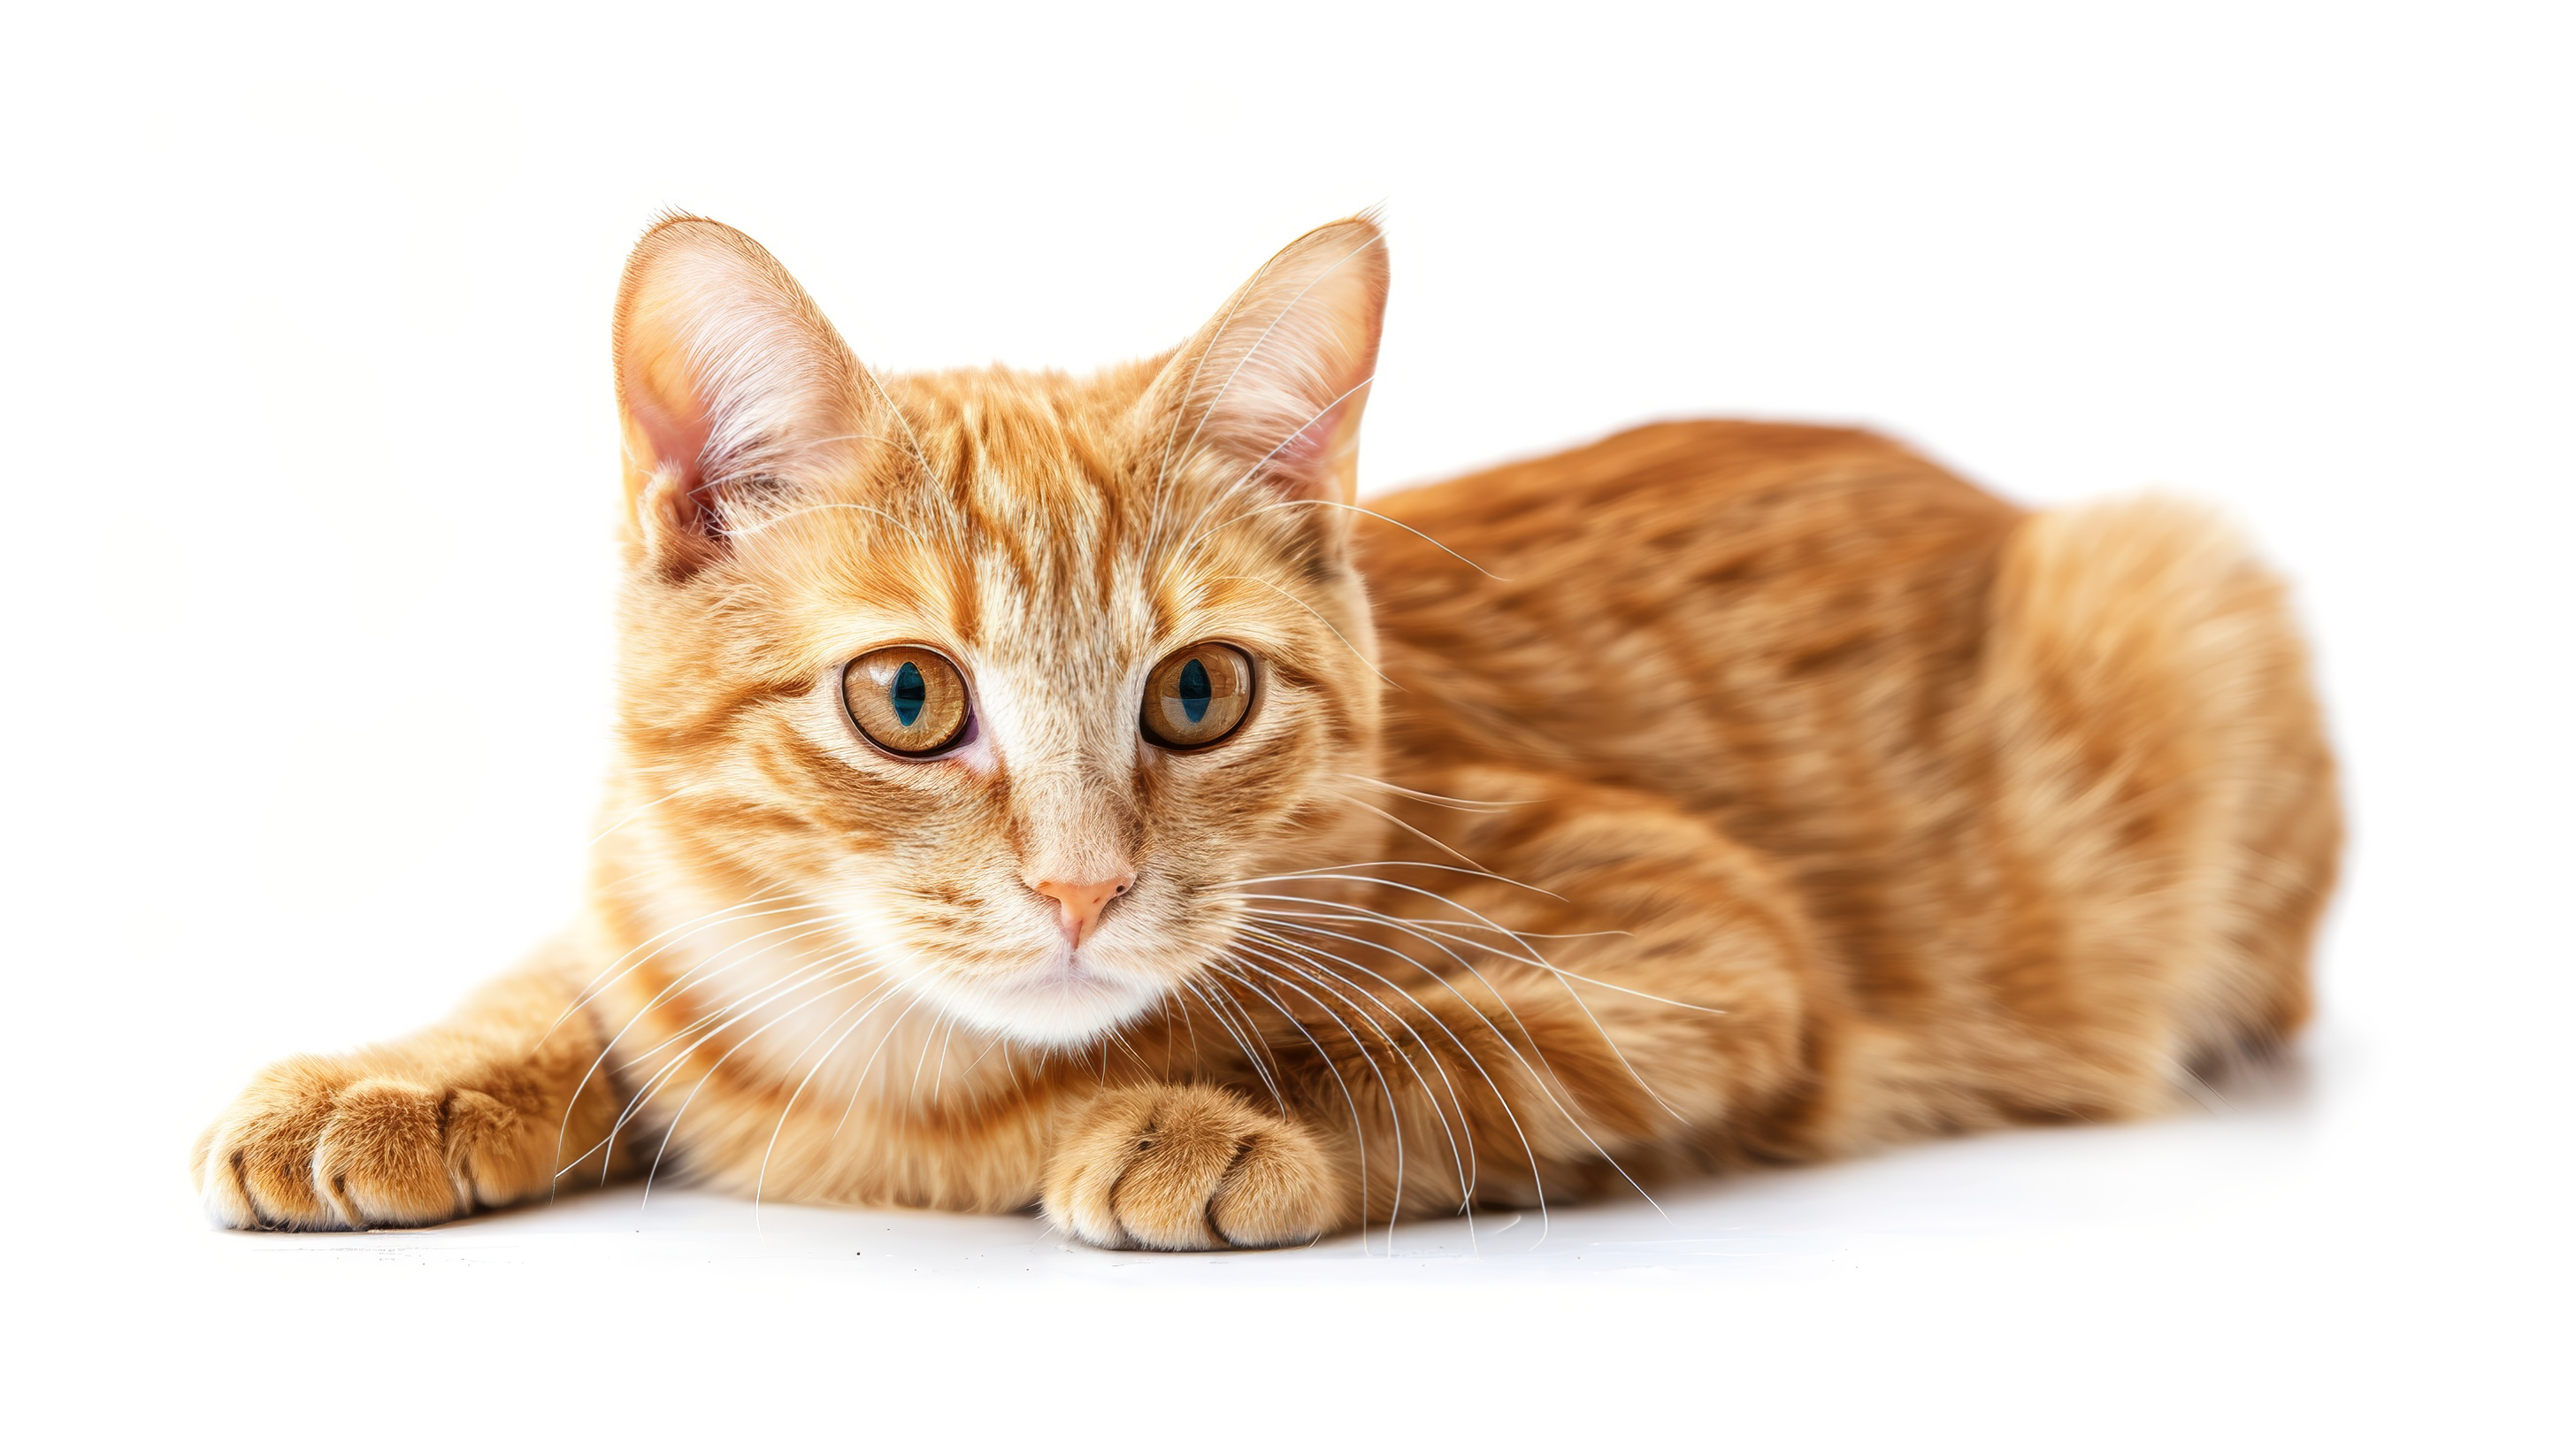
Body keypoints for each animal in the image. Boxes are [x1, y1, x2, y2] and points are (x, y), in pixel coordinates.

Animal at [196, 209, 2339, 1248]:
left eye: (1197, 694)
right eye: (909, 699)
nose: (1082, 888)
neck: (886, 1077)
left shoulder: (1712, 945)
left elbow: (1414, 1048)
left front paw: (1214, 1121)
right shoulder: (641, 920)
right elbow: (549, 988)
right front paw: (393, 1083)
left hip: (2176, 588)